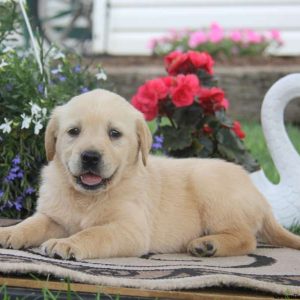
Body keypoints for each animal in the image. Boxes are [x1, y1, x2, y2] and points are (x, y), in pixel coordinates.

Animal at [0, 89, 300, 260]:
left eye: (114, 133)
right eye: (73, 131)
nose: (90, 157)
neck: (88, 197)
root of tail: (261, 199)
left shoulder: (130, 229)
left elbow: (93, 233)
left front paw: (67, 244)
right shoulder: (53, 216)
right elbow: (31, 223)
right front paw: (10, 232)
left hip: (211, 186)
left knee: (248, 240)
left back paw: (209, 245)